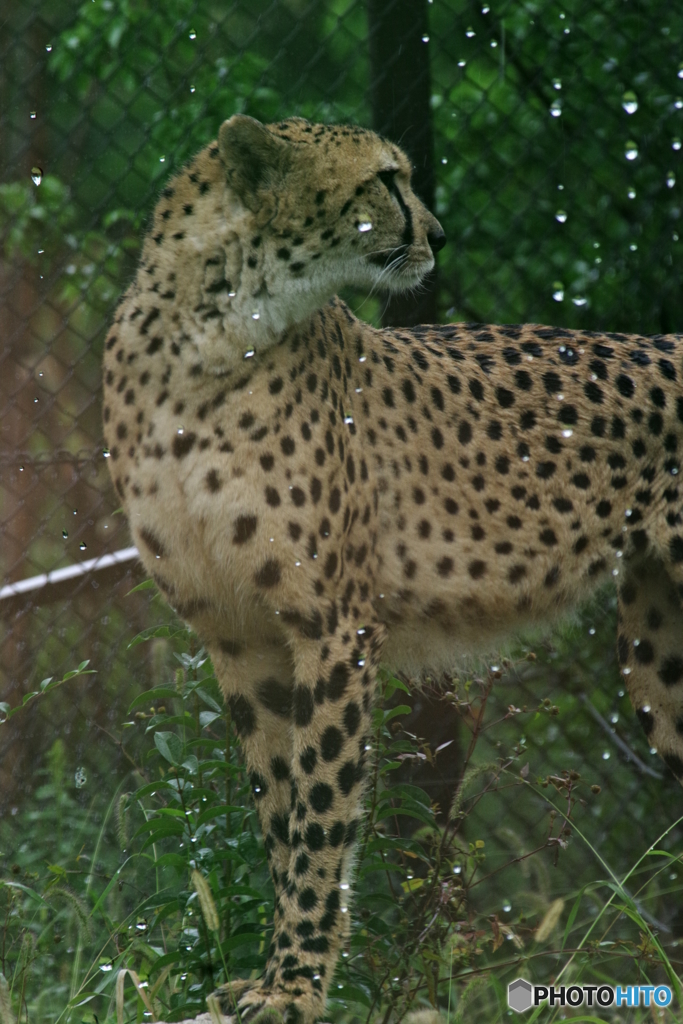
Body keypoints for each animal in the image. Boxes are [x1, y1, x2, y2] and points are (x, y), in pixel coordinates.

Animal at [101, 116, 683, 1024]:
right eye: (384, 179)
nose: (438, 236)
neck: (209, 335)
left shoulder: (333, 628)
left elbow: (320, 815)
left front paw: (295, 986)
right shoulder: (238, 637)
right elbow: (279, 808)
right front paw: (271, 977)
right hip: (661, 659)